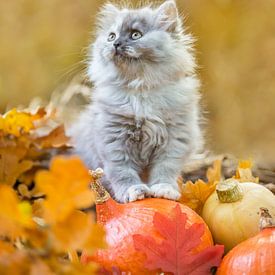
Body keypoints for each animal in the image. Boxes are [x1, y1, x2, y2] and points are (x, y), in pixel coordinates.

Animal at [69, 1, 203, 204]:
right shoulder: (114, 140)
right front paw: (133, 191)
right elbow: (123, 173)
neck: (140, 90)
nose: (116, 44)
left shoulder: (175, 140)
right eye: (111, 36)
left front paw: (164, 189)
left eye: (135, 35)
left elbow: (165, 169)